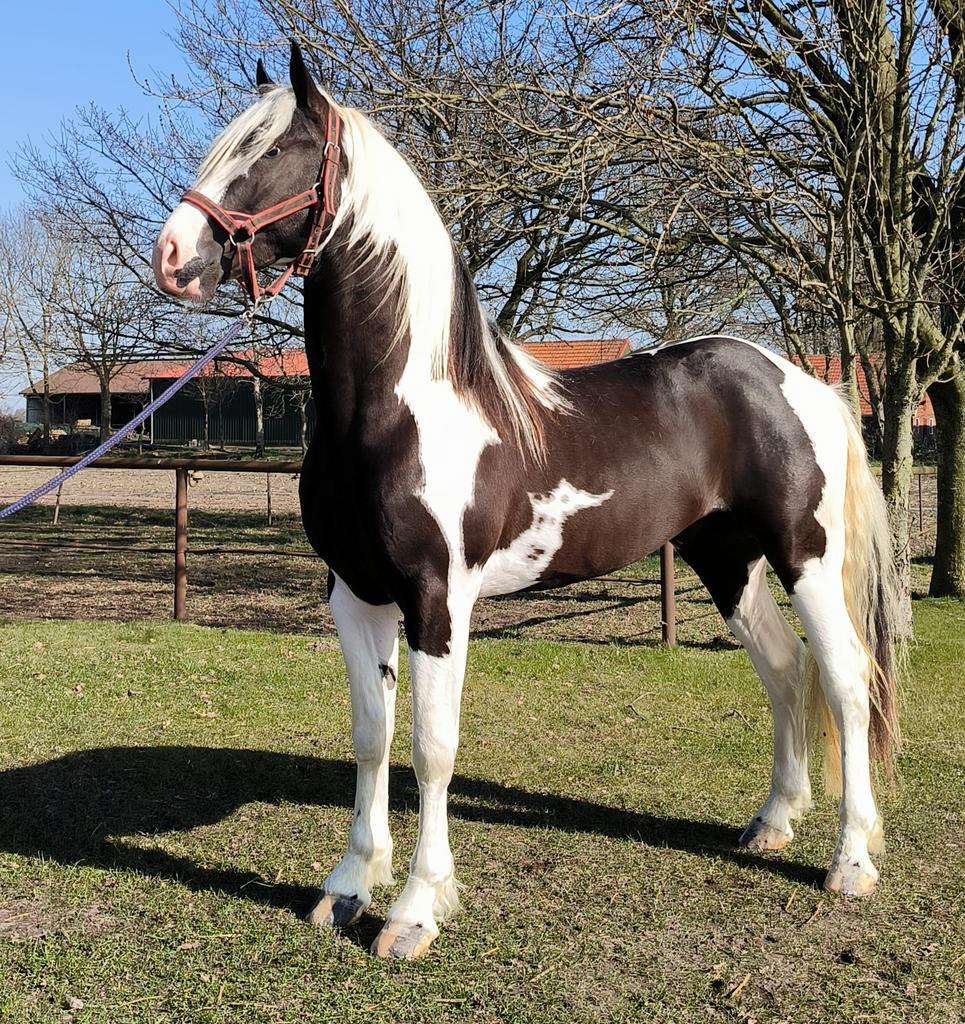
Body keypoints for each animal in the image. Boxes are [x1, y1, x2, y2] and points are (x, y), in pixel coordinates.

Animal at [153, 43, 901, 960]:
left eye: (274, 151)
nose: (173, 256)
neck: (398, 409)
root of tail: (802, 382)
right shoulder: (355, 595)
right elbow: (371, 737)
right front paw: (347, 886)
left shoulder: (437, 600)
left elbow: (432, 749)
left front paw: (415, 910)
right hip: (724, 558)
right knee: (784, 669)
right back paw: (771, 823)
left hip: (806, 556)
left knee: (846, 678)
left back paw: (850, 861)